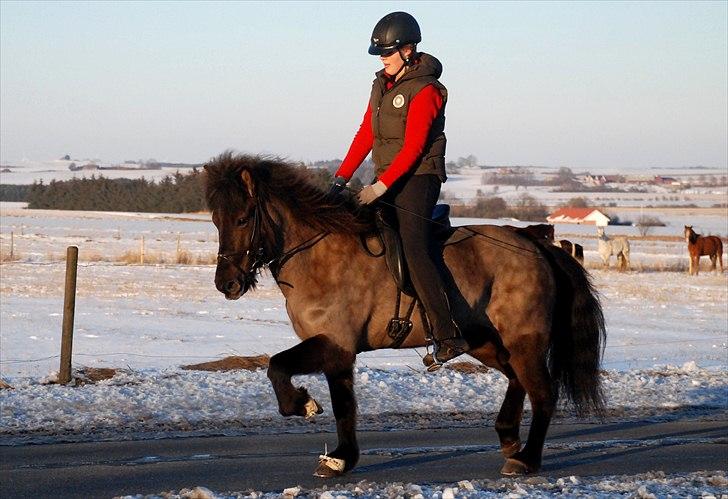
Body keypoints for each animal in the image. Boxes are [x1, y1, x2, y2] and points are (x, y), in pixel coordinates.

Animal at [203, 154, 604, 478]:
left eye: (242, 219)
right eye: (216, 220)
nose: (226, 283)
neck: (318, 255)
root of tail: (534, 244)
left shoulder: (334, 343)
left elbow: (279, 368)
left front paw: (303, 404)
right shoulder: (337, 353)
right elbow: (343, 405)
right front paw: (341, 458)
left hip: (523, 341)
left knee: (543, 392)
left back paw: (526, 459)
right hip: (486, 342)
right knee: (518, 380)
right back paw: (508, 437)